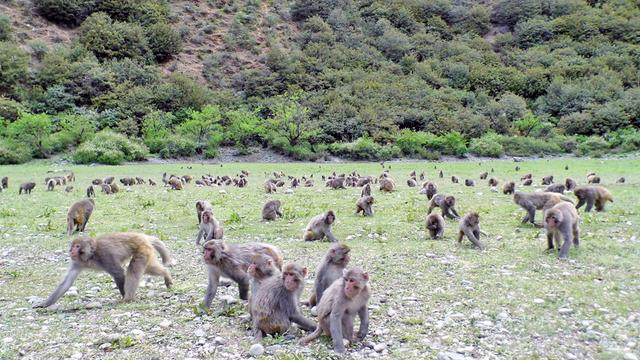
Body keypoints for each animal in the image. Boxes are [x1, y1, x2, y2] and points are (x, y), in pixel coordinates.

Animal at [32, 233, 172, 306]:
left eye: (77, 246)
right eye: (73, 246)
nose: (71, 251)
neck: (91, 255)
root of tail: (142, 236)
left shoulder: (105, 256)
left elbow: (119, 273)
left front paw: (123, 297)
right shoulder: (77, 262)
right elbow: (66, 282)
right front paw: (45, 303)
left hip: (142, 249)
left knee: (133, 270)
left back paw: (128, 298)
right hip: (146, 250)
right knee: (149, 268)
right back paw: (166, 274)